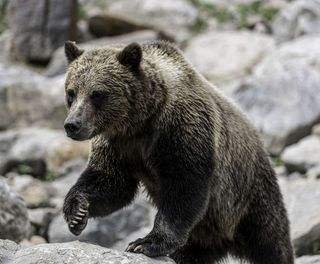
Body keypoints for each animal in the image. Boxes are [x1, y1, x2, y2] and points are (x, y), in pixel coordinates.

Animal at [62, 39, 296, 264]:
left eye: (97, 94)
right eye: (71, 92)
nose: (72, 124)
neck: (140, 124)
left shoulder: (181, 130)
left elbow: (183, 187)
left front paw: (145, 243)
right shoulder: (119, 146)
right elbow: (110, 182)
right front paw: (77, 212)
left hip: (247, 194)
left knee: (270, 240)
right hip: (206, 234)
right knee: (191, 251)